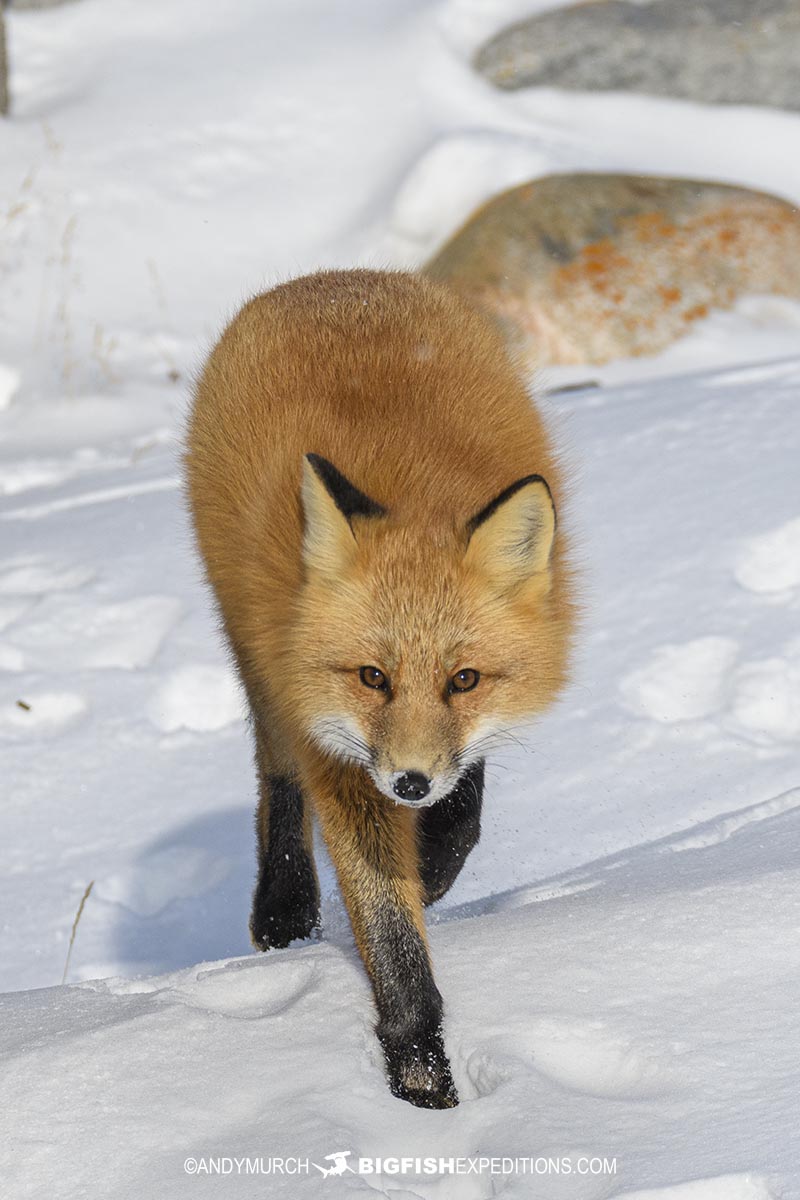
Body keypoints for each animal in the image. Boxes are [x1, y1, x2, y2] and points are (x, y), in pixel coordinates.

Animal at [188, 270, 575, 1104]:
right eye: (372, 677)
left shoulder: (448, 751)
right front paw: (424, 1089)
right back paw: (286, 908)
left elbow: (459, 822)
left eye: (463, 680)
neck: (416, 482)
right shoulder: (339, 753)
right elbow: (394, 942)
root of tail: (329, 280)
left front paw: (431, 870)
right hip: (256, 653)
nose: (409, 784)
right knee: (277, 780)